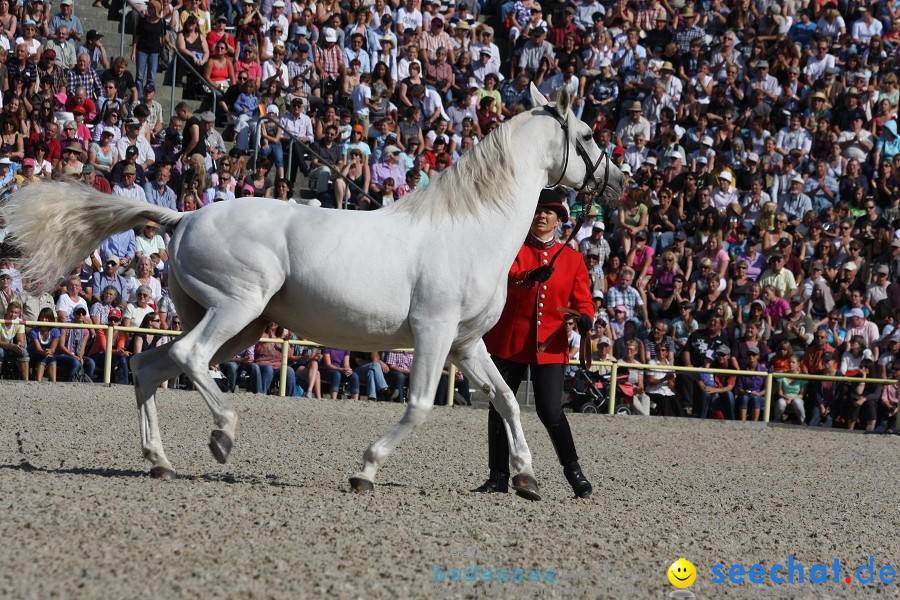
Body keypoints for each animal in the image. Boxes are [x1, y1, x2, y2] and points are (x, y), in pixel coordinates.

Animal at [3, 83, 624, 496]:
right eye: (587, 135)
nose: (620, 181)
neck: (467, 228)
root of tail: (184, 217)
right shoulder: (433, 333)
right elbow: (421, 405)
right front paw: (364, 471)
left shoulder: (466, 344)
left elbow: (505, 401)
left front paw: (525, 476)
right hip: (237, 309)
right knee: (189, 357)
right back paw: (222, 437)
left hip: (236, 322)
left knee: (151, 365)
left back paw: (159, 460)